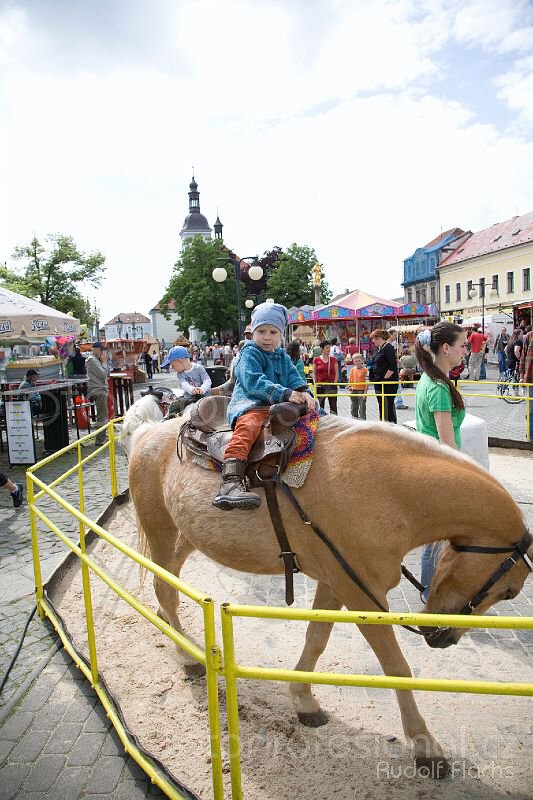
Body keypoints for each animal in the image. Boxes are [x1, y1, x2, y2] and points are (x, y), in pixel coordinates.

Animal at [127, 416, 528, 780]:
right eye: (509, 591)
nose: (444, 638)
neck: (391, 491)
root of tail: (148, 430)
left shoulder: (335, 585)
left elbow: (316, 638)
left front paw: (304, 701)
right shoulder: (362, 595)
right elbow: (396, 667)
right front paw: (425, 747)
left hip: (186, 536)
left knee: (172, 579)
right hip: (161, 529)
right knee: (164, 587)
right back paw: (185, 655)